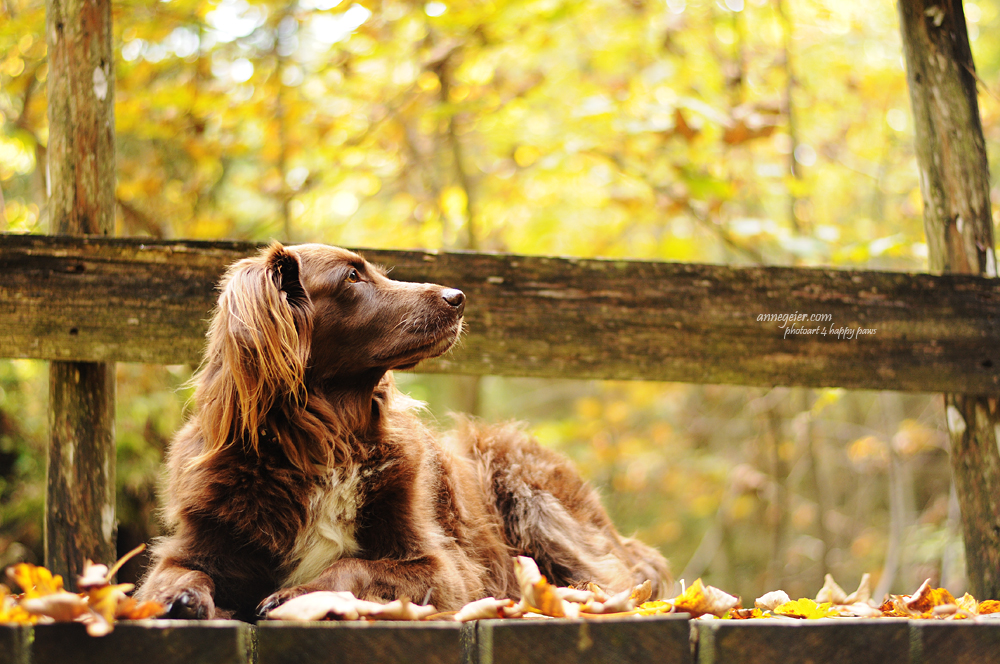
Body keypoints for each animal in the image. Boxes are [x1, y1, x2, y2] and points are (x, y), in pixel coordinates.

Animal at [133, 244, 664, 624]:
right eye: (352, 277)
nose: (458, 297)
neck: (322, 440)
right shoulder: (199, 540)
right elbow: (174, 575)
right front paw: (181, 596)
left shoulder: (447, 570)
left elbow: (355, 566)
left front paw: (296, 595)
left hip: (518, 475)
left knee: (608, 577)